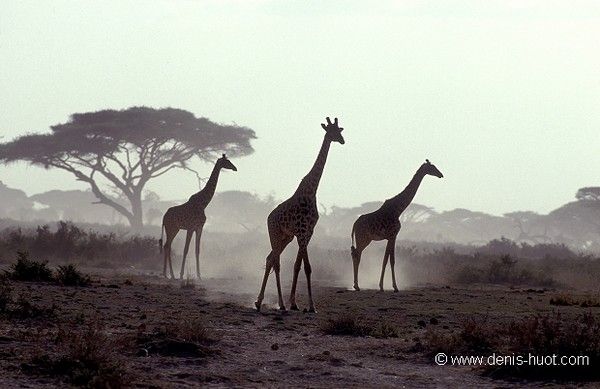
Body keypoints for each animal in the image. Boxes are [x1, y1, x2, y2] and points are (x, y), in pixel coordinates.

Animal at [254, 116, 346, 310]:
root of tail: (268, 217)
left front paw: (295, 303)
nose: (342, 140)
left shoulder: (307, 233)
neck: (311, 191)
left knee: (270, 258)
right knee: (276, 261)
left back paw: (259, 301)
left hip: (286, 237)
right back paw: (279, 304)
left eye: (340, 130)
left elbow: (298, 265)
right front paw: (311, 306)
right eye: (332, 131)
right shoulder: (302, 232)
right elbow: (307, 266)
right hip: (274, 234)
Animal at [350, 160, 442, 292]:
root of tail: (354, 224)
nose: (441, 175)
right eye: (432, 167)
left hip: (364, 239)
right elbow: (391, 260)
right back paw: (356, 285)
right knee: (357, 254)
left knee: (355, 254)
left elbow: (386, 260)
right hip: (364, 238)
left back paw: (356, 285)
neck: (398, 210)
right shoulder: (393, 235)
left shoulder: (390, 237)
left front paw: (383, 286)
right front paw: (393, 287)